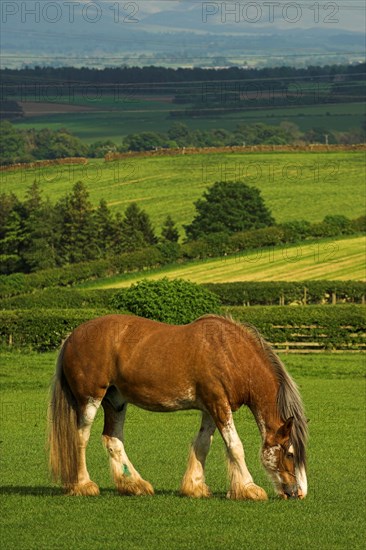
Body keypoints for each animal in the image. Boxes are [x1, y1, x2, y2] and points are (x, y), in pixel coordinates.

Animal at [48, 314, 308, 500]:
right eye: (290, 453)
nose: (298, 493)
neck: (229, 353)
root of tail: (72, 336)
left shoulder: (211, 408)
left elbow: (203, 444)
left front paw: (195, 487)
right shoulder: (218, 403)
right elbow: (235, 446)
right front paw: (249, 488)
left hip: (116, 402)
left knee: (113, 439)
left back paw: (134, 485)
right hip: (90, 400)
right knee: (81, 438)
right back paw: (83, 485)